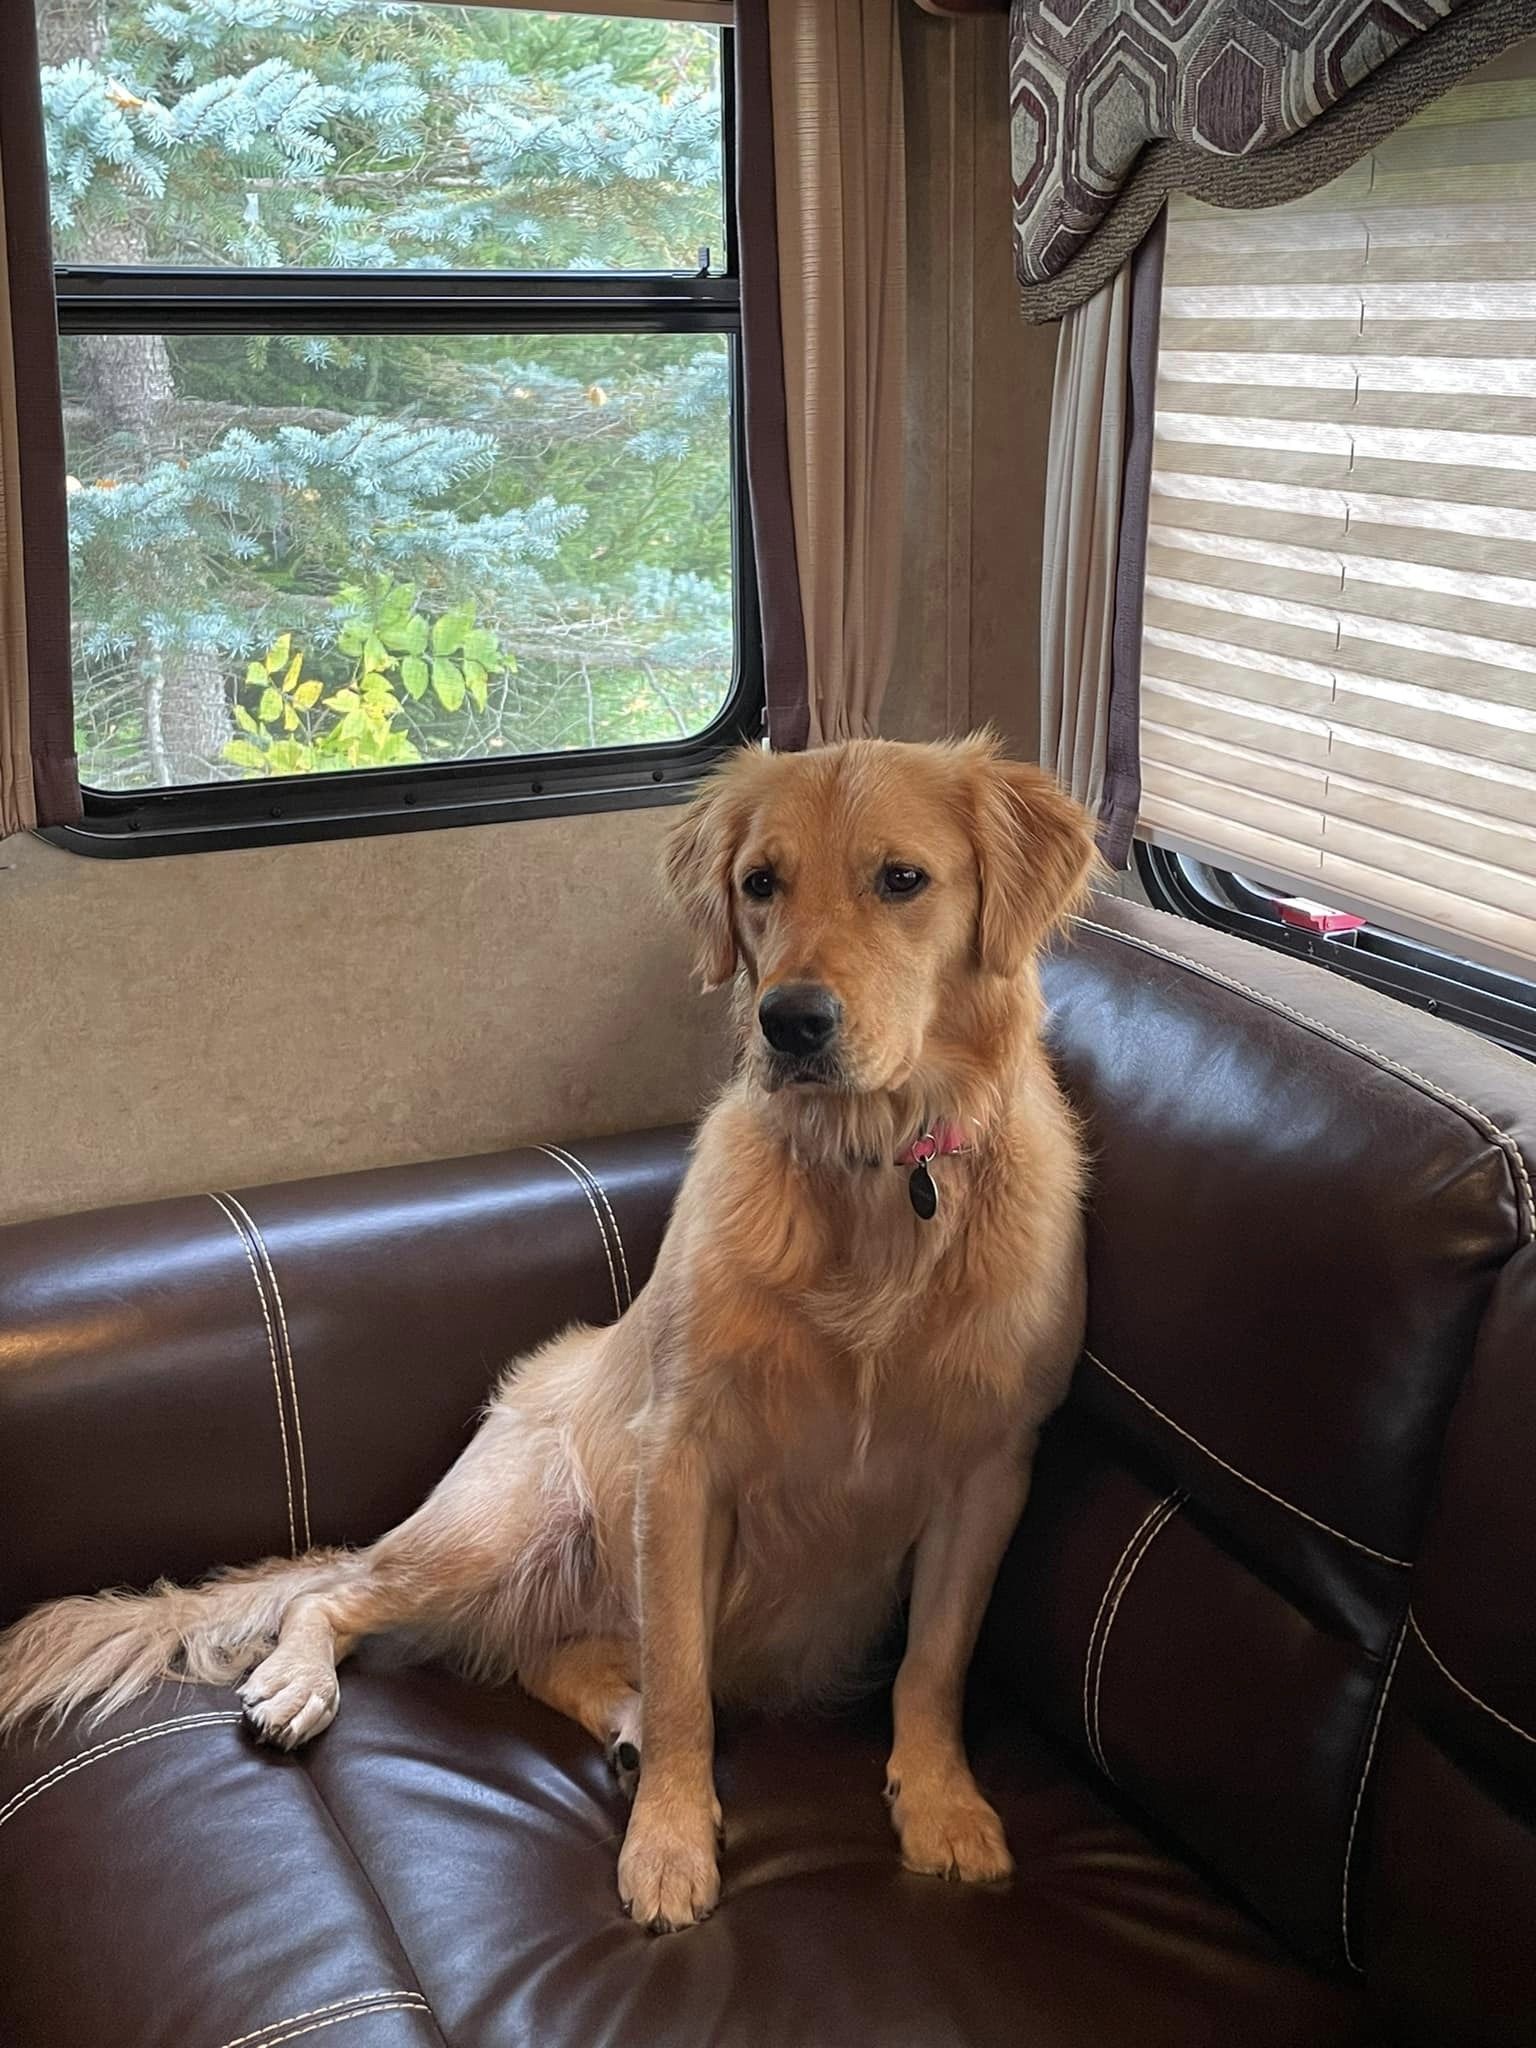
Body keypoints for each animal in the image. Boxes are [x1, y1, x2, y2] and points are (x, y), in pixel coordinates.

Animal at [0, 737, 1097, 1933]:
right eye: (761, 883)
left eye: (903, 879)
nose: (790, 1022)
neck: (873, 1178)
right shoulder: (682, 1462)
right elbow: (685, 1679)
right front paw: (669, 1839)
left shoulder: (990, 1469)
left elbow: (933, 1663)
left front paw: (942, 1801)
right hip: (497, 1527)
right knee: (337, 1596)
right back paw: (309, 1682)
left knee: (547, 1656)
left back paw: (619, 1725)